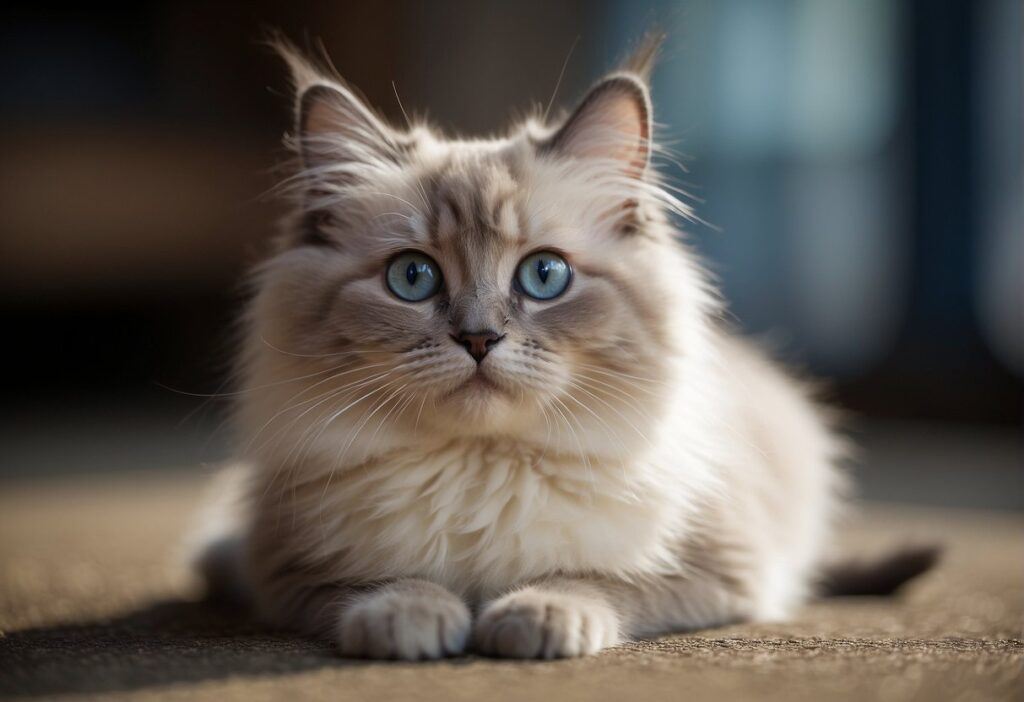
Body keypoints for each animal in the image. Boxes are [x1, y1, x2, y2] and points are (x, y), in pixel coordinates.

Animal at [193, 34, 937, 659]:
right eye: (413, 278)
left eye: (544, 276)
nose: (479, 338)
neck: (480, 470)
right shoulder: (284, 570)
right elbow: (377, 586)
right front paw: (414, 618)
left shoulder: (722, 570)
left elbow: (592, 580)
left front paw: (533, 617)